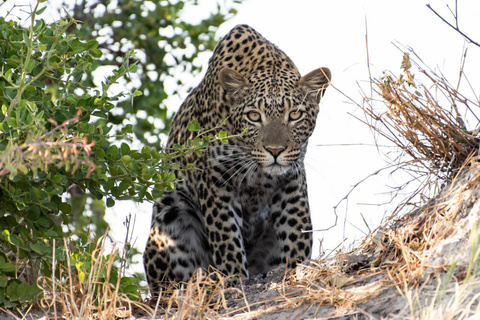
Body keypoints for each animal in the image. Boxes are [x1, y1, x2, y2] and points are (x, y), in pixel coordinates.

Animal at [142, 24, 330, 296]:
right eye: (254, 116)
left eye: (295, 115)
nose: (275, 150)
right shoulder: (216, 181)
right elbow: (225, 235)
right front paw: (234, 280)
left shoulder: (291, 178)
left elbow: (297, 227)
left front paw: (299, 269)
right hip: (170, 211)